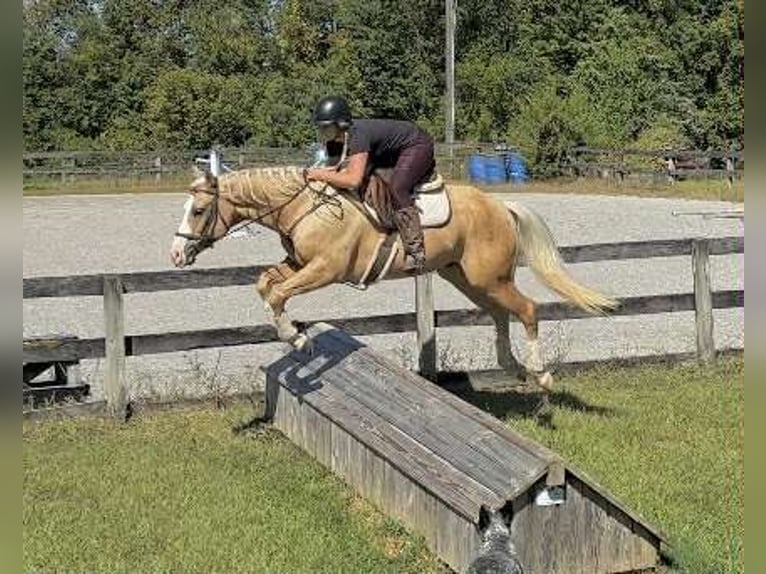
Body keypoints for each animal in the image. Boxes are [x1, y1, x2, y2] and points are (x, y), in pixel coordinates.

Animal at [169, 165, 617, 393]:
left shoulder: (325, 270)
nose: (175, 254)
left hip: (488, 278)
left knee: (527, 309)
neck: (303, 206)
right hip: (468, 279)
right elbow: (267, 286)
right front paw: (299, 339)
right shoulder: (299, 264)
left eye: (198, 211)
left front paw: (298, 340)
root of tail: (500, 204)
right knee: (501, 313)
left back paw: (540, 373)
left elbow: (277, 293)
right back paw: (511, 365)